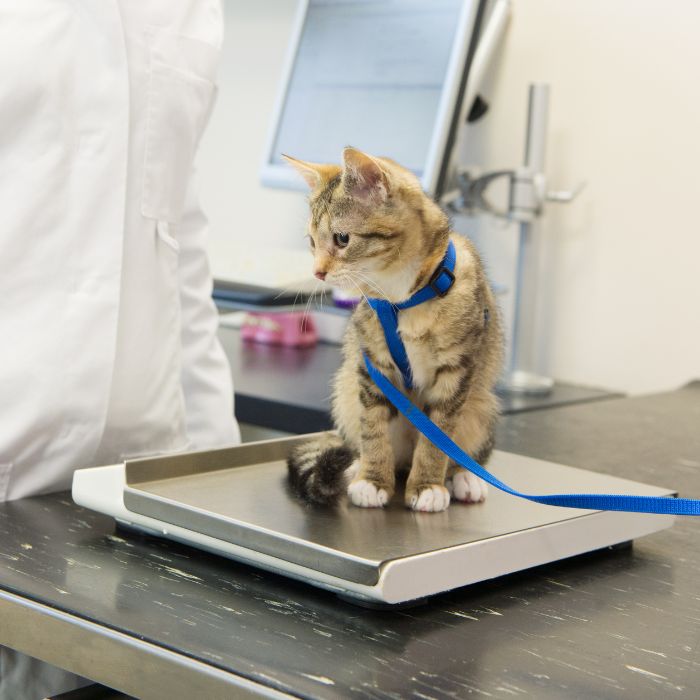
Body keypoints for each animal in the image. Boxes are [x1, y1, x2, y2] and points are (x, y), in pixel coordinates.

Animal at [284, 148, 504, 512]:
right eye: (312, 242)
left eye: (342, 238)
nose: (317, 272)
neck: (404, 299)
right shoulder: (372, 365)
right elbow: (374, 427)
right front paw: (373, 480)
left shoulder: (457, 371)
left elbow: (438, 437)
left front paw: (428, 485)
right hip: (346, 390)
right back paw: (357, 466)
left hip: (482, 403)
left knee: (466, 449)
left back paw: (464, 477)